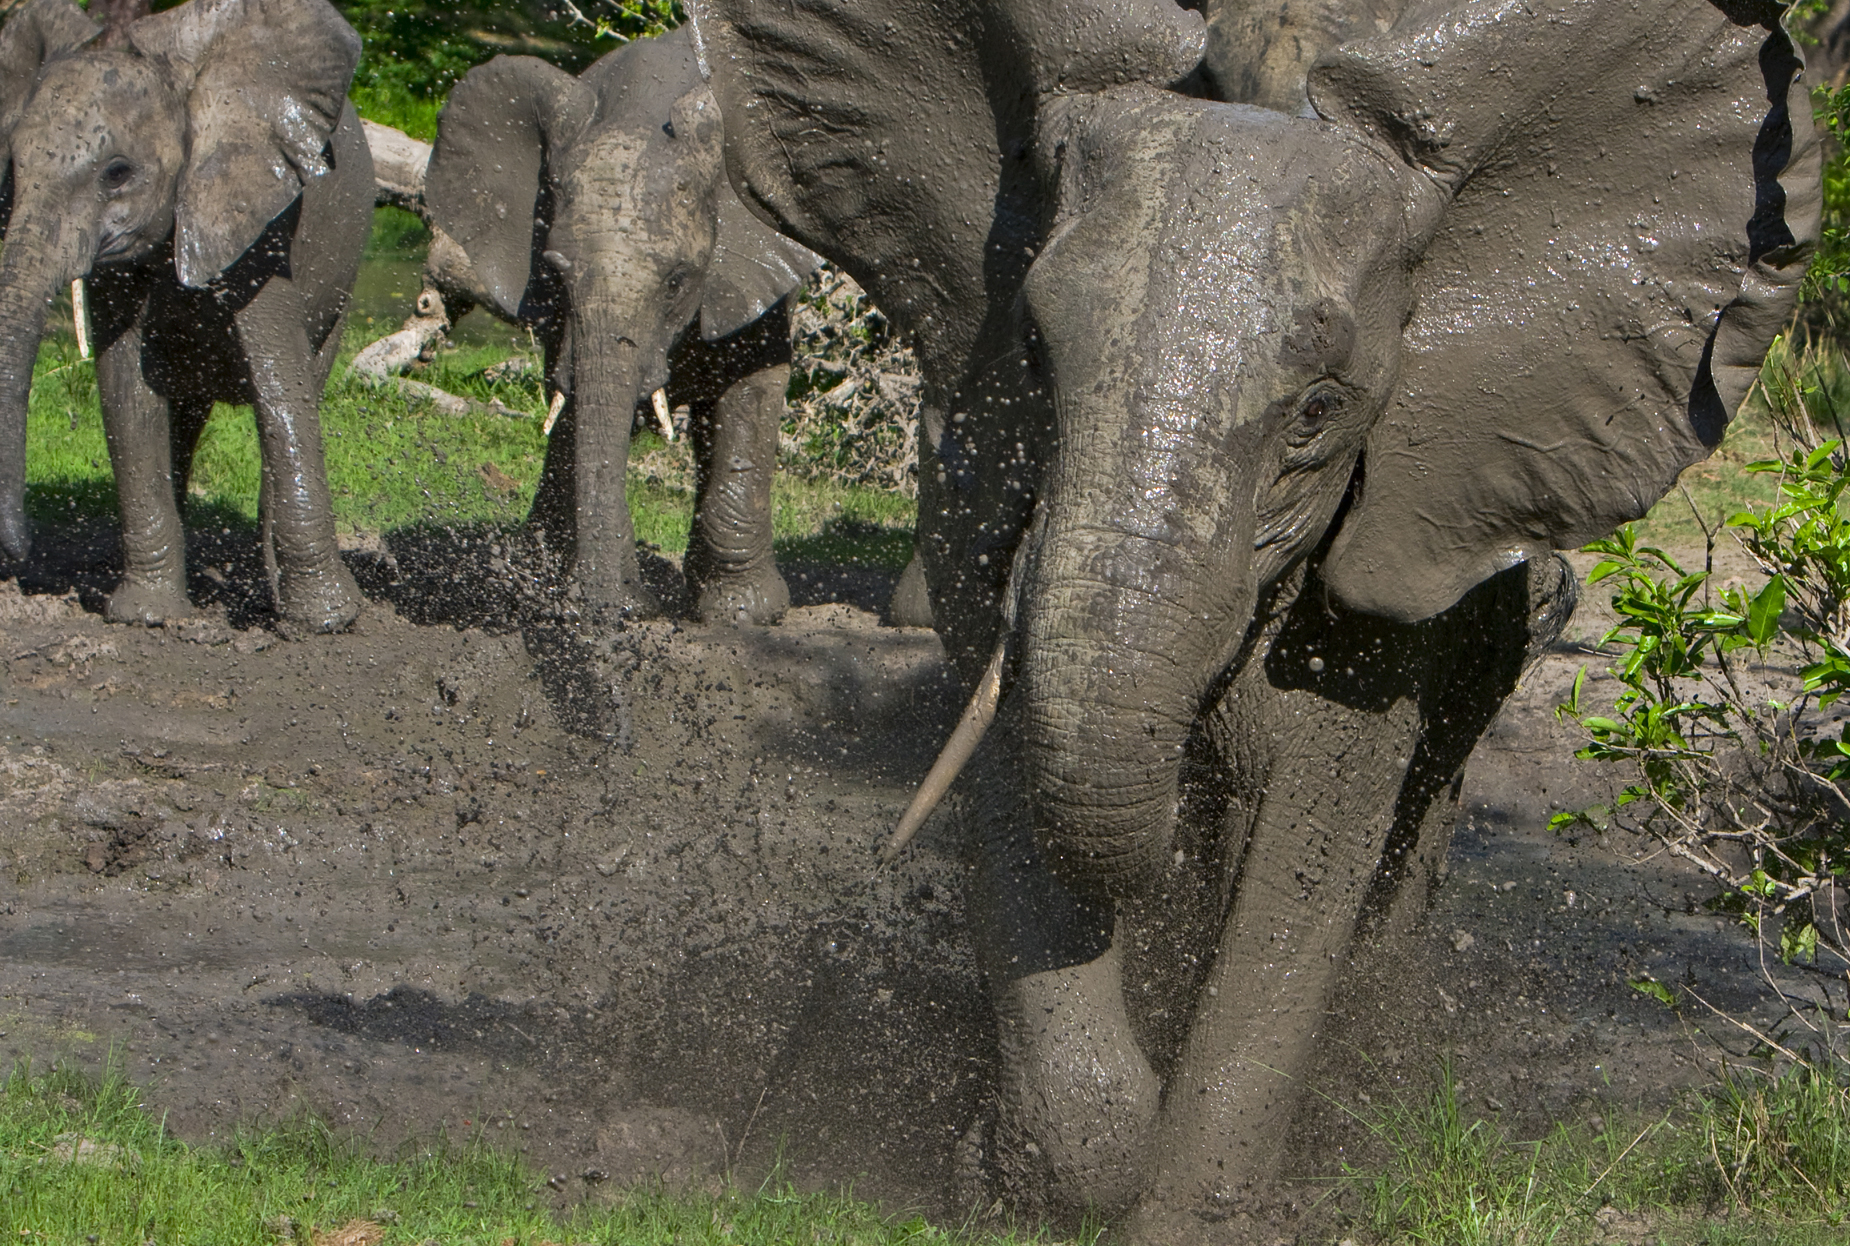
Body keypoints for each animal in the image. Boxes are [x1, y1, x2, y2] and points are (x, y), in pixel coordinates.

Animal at [0, 0, 371, 633]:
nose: (21, 554)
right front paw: (147, 617)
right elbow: (126, 391)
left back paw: (270, 590)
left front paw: (326, 624)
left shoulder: (258, 216)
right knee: (182, 412)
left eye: (117, 173)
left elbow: (281, 383)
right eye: (13, 167)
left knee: (307, 378)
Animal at [420, 28, 834, 627]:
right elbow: (579, 409)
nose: (627, 606)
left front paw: (744, 614)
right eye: (555, 273)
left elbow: (752, 395)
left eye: (677, 282)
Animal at [691, 0, 1819, 1234]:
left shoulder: (1406, 522)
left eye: (1320, 412)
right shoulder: (967, 472)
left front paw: (1195, 1210)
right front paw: (1017, 1173)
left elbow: (1310, 829)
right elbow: (1004, 766)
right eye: (1032, 353)